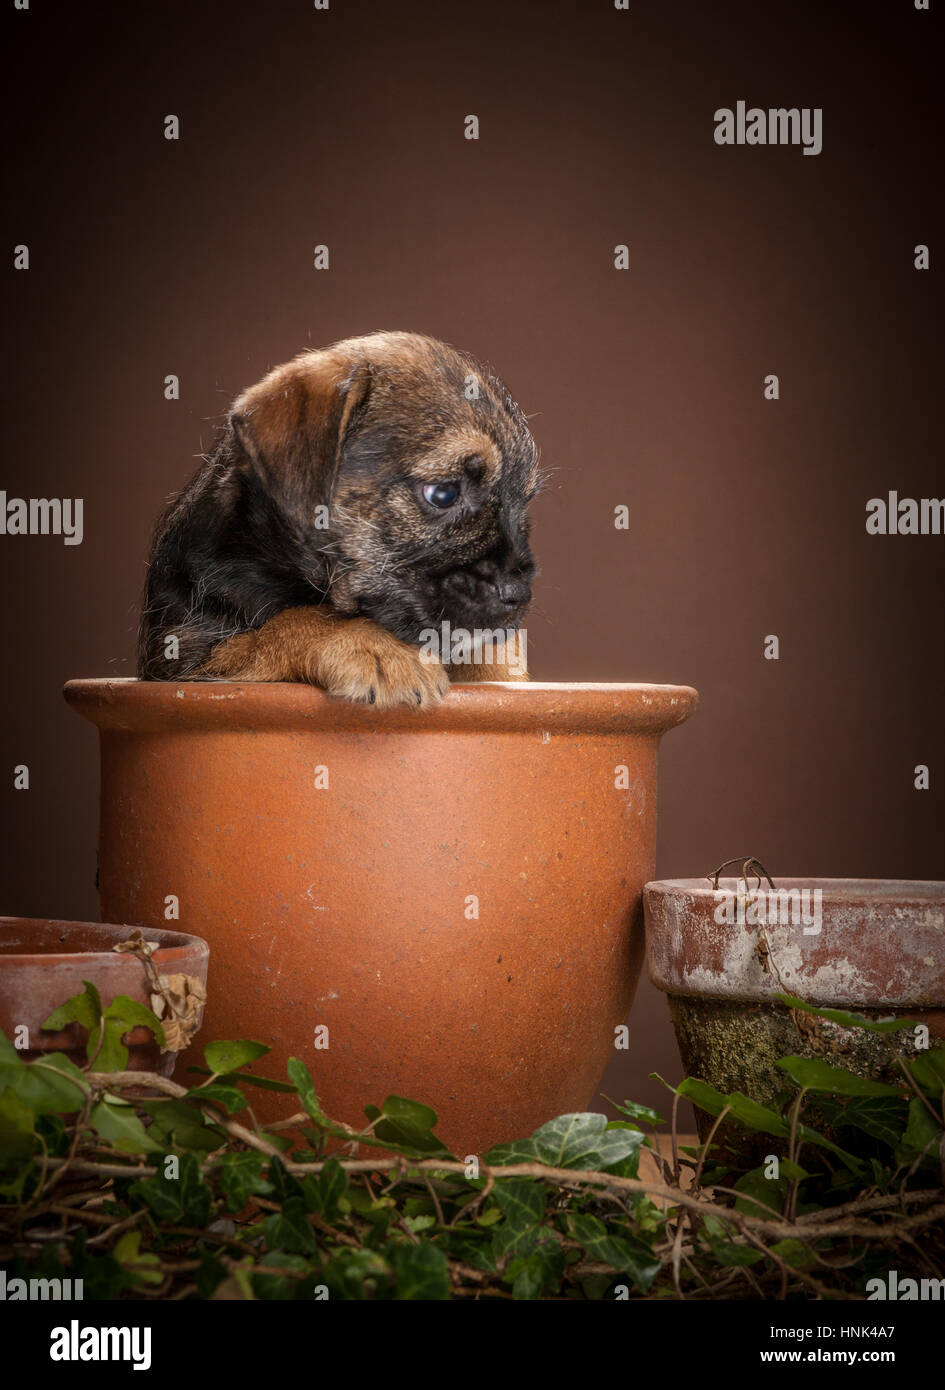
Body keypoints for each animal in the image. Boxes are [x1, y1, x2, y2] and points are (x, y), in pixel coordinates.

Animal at [137, 330, 541, 706]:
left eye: (523, 502)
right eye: (443, 494)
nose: (518, 595)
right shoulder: (185, 654)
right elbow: (293, 621)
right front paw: (375, 647)